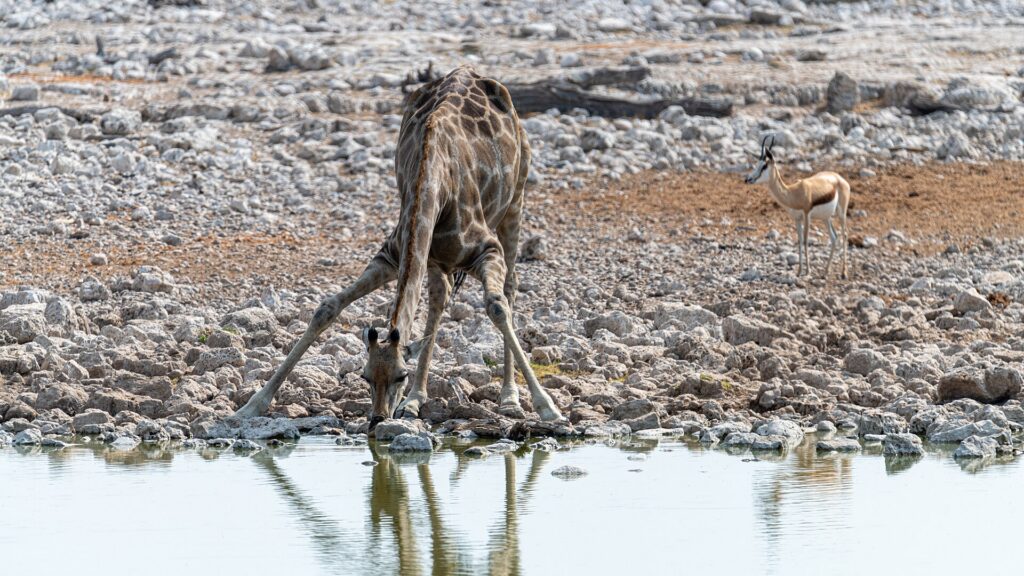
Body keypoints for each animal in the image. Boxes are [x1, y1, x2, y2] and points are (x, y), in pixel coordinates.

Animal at [233, 65, 564, 428]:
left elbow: (496, 306)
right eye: (365, 376)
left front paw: (548, 408)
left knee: (510, 287)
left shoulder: (486, 250)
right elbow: (327, 307)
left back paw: (508, 399)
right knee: (439, 299)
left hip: (516, 197)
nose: (378, 419)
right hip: (435, 260)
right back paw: (417, 400)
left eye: (399, 376)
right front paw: (251, 405)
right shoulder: (393, 253)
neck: (433, 186)